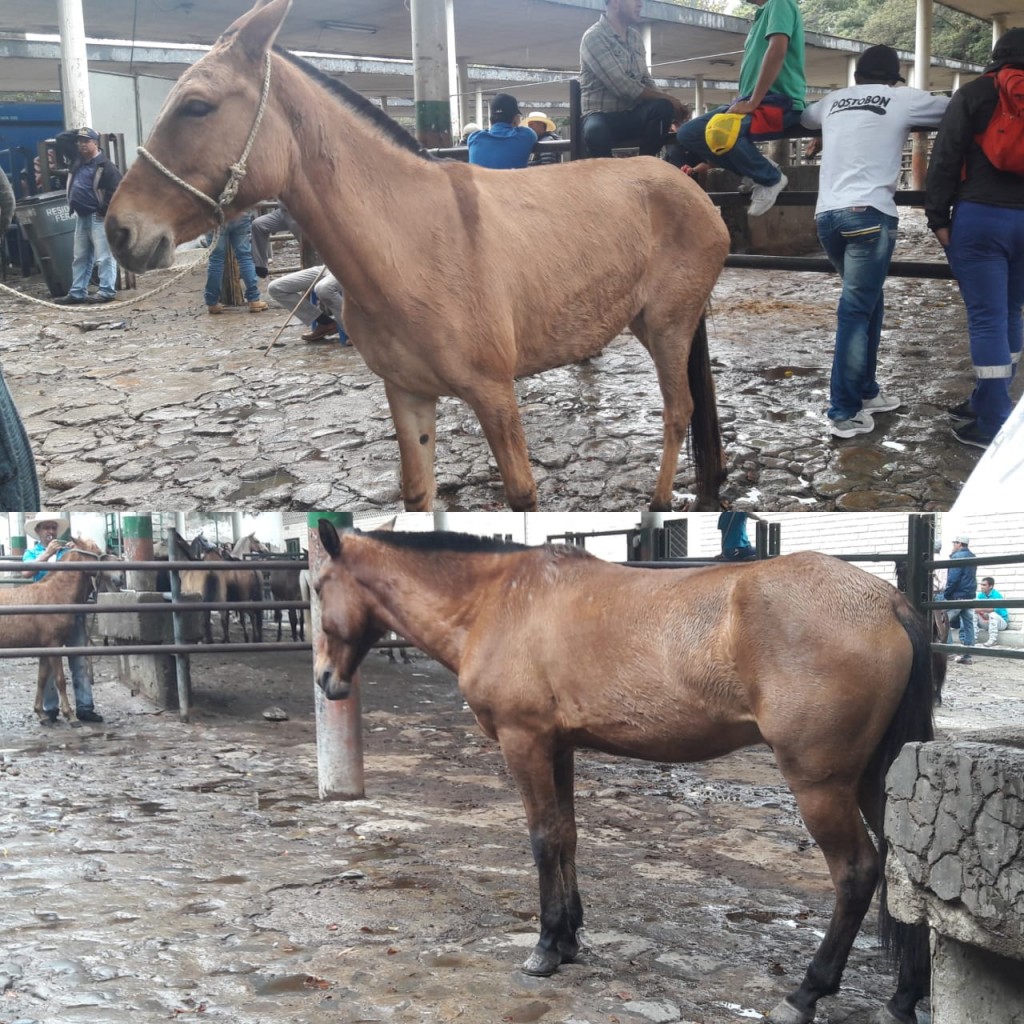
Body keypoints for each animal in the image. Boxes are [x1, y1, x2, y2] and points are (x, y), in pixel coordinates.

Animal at [105, 0, 731, 513]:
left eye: (196, 106)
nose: (118, 231)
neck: (409, 241)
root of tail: (685, 181)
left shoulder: (494, 393)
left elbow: (522, 496)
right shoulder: (407, 393)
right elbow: (417, 494)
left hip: (670, 324)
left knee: (678, 411)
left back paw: (660, 503)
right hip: (645, 322)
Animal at [311, 526, 935, 1024]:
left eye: (317, 588)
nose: (324, 680)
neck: (497, 600)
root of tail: (885, 600)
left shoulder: (524, 743)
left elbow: (543, 840)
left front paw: (544, 947)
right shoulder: (557, 747)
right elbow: (566, 836)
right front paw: (568, 938)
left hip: (821, 785)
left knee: (857, 873)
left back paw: (806, 993)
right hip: (876, 780)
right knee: (907, 873)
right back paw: (903, 999)